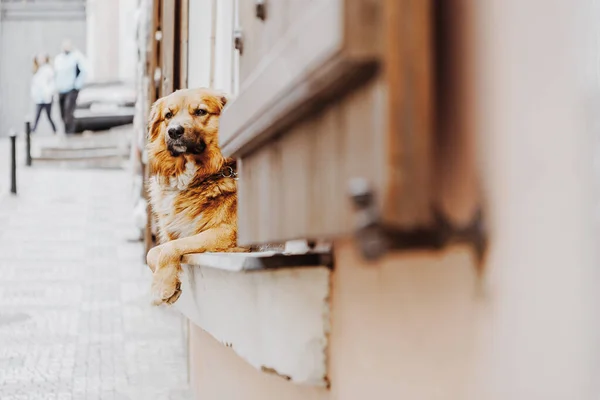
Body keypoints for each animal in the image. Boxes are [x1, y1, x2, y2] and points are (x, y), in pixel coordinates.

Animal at [145, 88, 241, 306]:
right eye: (168, 115)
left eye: (200, 111)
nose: (174, 131)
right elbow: (152, 252)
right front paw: (171, 285)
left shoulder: (227, 232)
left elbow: (170, 248)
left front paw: (161, 286)